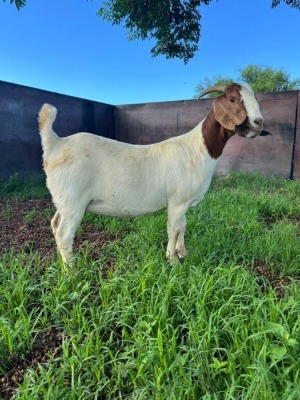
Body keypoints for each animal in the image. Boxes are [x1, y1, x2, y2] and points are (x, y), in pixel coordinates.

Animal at [37, 83, 264, 268]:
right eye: (233, 99)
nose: (259, 122)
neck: (198, 149)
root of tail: (55, 144)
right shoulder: (178, 200)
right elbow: (173, 228)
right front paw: (173, 261)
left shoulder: (182, 202)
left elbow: (183, 225)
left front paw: (182, 252)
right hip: (73, 201)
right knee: (64, 234)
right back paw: (72, 272)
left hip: (63, 201)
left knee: (55, 224)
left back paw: (63, 265)